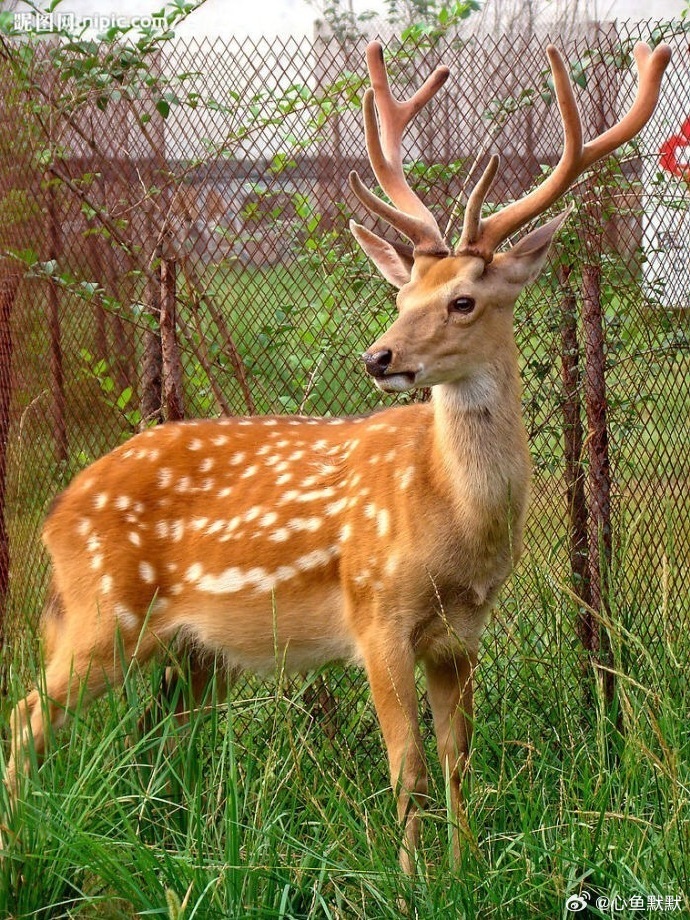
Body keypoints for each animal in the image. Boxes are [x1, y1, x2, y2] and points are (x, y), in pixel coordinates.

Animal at [4, 39, 670, 872]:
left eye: (462, 301)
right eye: (401, 295)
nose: (379, 357)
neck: (454, 519)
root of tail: (58, 512)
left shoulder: (463, 633)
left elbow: (457, 757)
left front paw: (465, 869)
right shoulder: (375, 609)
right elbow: (406, 765)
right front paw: (415, 880)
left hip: (193, 653)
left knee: (153, 738)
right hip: (101, 610)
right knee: (27, 718)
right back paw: (23, 842)